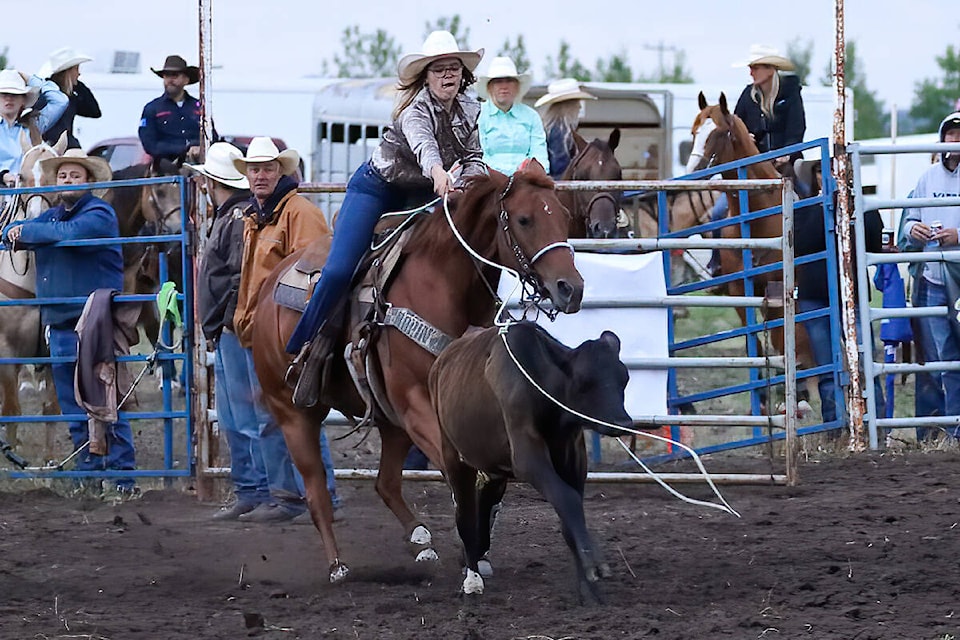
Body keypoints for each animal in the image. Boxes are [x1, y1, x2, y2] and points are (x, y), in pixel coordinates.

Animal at [253, 158, 584, 584]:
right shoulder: (416, 404)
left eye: (561, 216)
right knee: (316, 492)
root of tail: (263, 292)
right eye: (525, 219)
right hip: (295, 413)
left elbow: (489, 477)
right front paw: (472, 560)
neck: (443, 284)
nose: (571, 288)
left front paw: (477, 551)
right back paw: (338, 566)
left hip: (391, 420)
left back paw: (421, 539)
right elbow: (460, 472)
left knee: (386, 482)